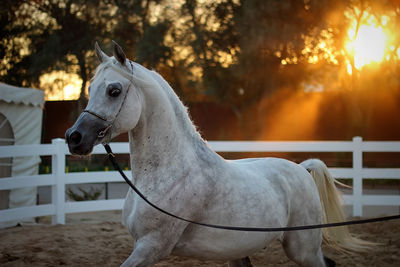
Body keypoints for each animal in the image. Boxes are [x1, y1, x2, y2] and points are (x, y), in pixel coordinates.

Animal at [65, 42, 368, 267]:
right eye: (91, 88)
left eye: (114, 90)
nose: (73, 138)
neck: (169, 173)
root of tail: (302, 169)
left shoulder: (151, 246)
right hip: (243, 253)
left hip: (302, 249)